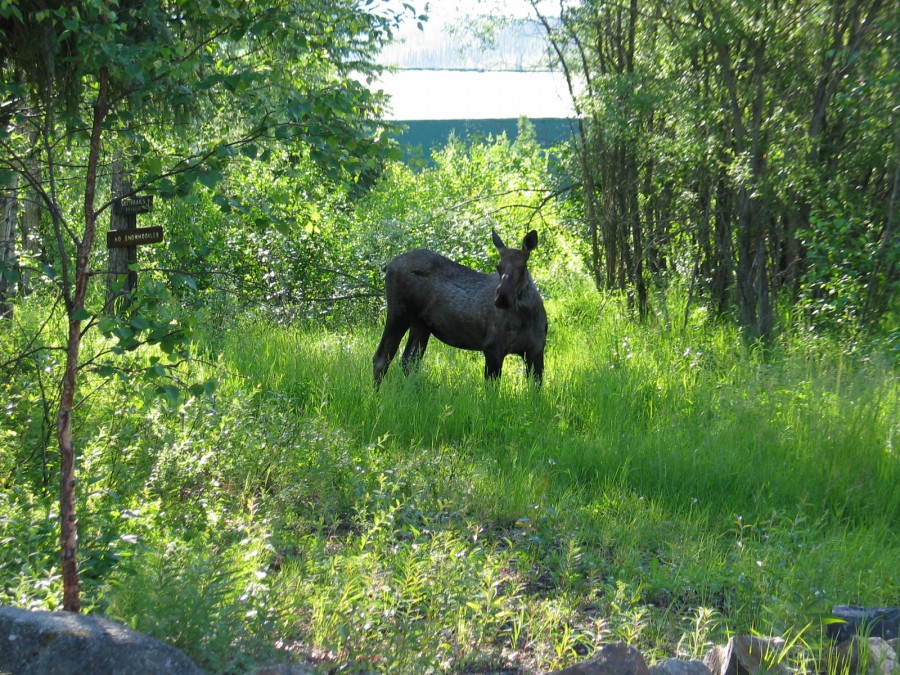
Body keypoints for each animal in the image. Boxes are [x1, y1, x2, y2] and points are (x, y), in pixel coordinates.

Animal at [372, 230, 548, 388]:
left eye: (522, 266)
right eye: (498, 266)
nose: (502, 297)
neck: (526, 315)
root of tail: (388, 266)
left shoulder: (536, 351)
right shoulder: (492, 348)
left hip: (421, 324)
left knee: (409, 361)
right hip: (399, 312)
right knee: (381, 358)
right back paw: (376, 397)